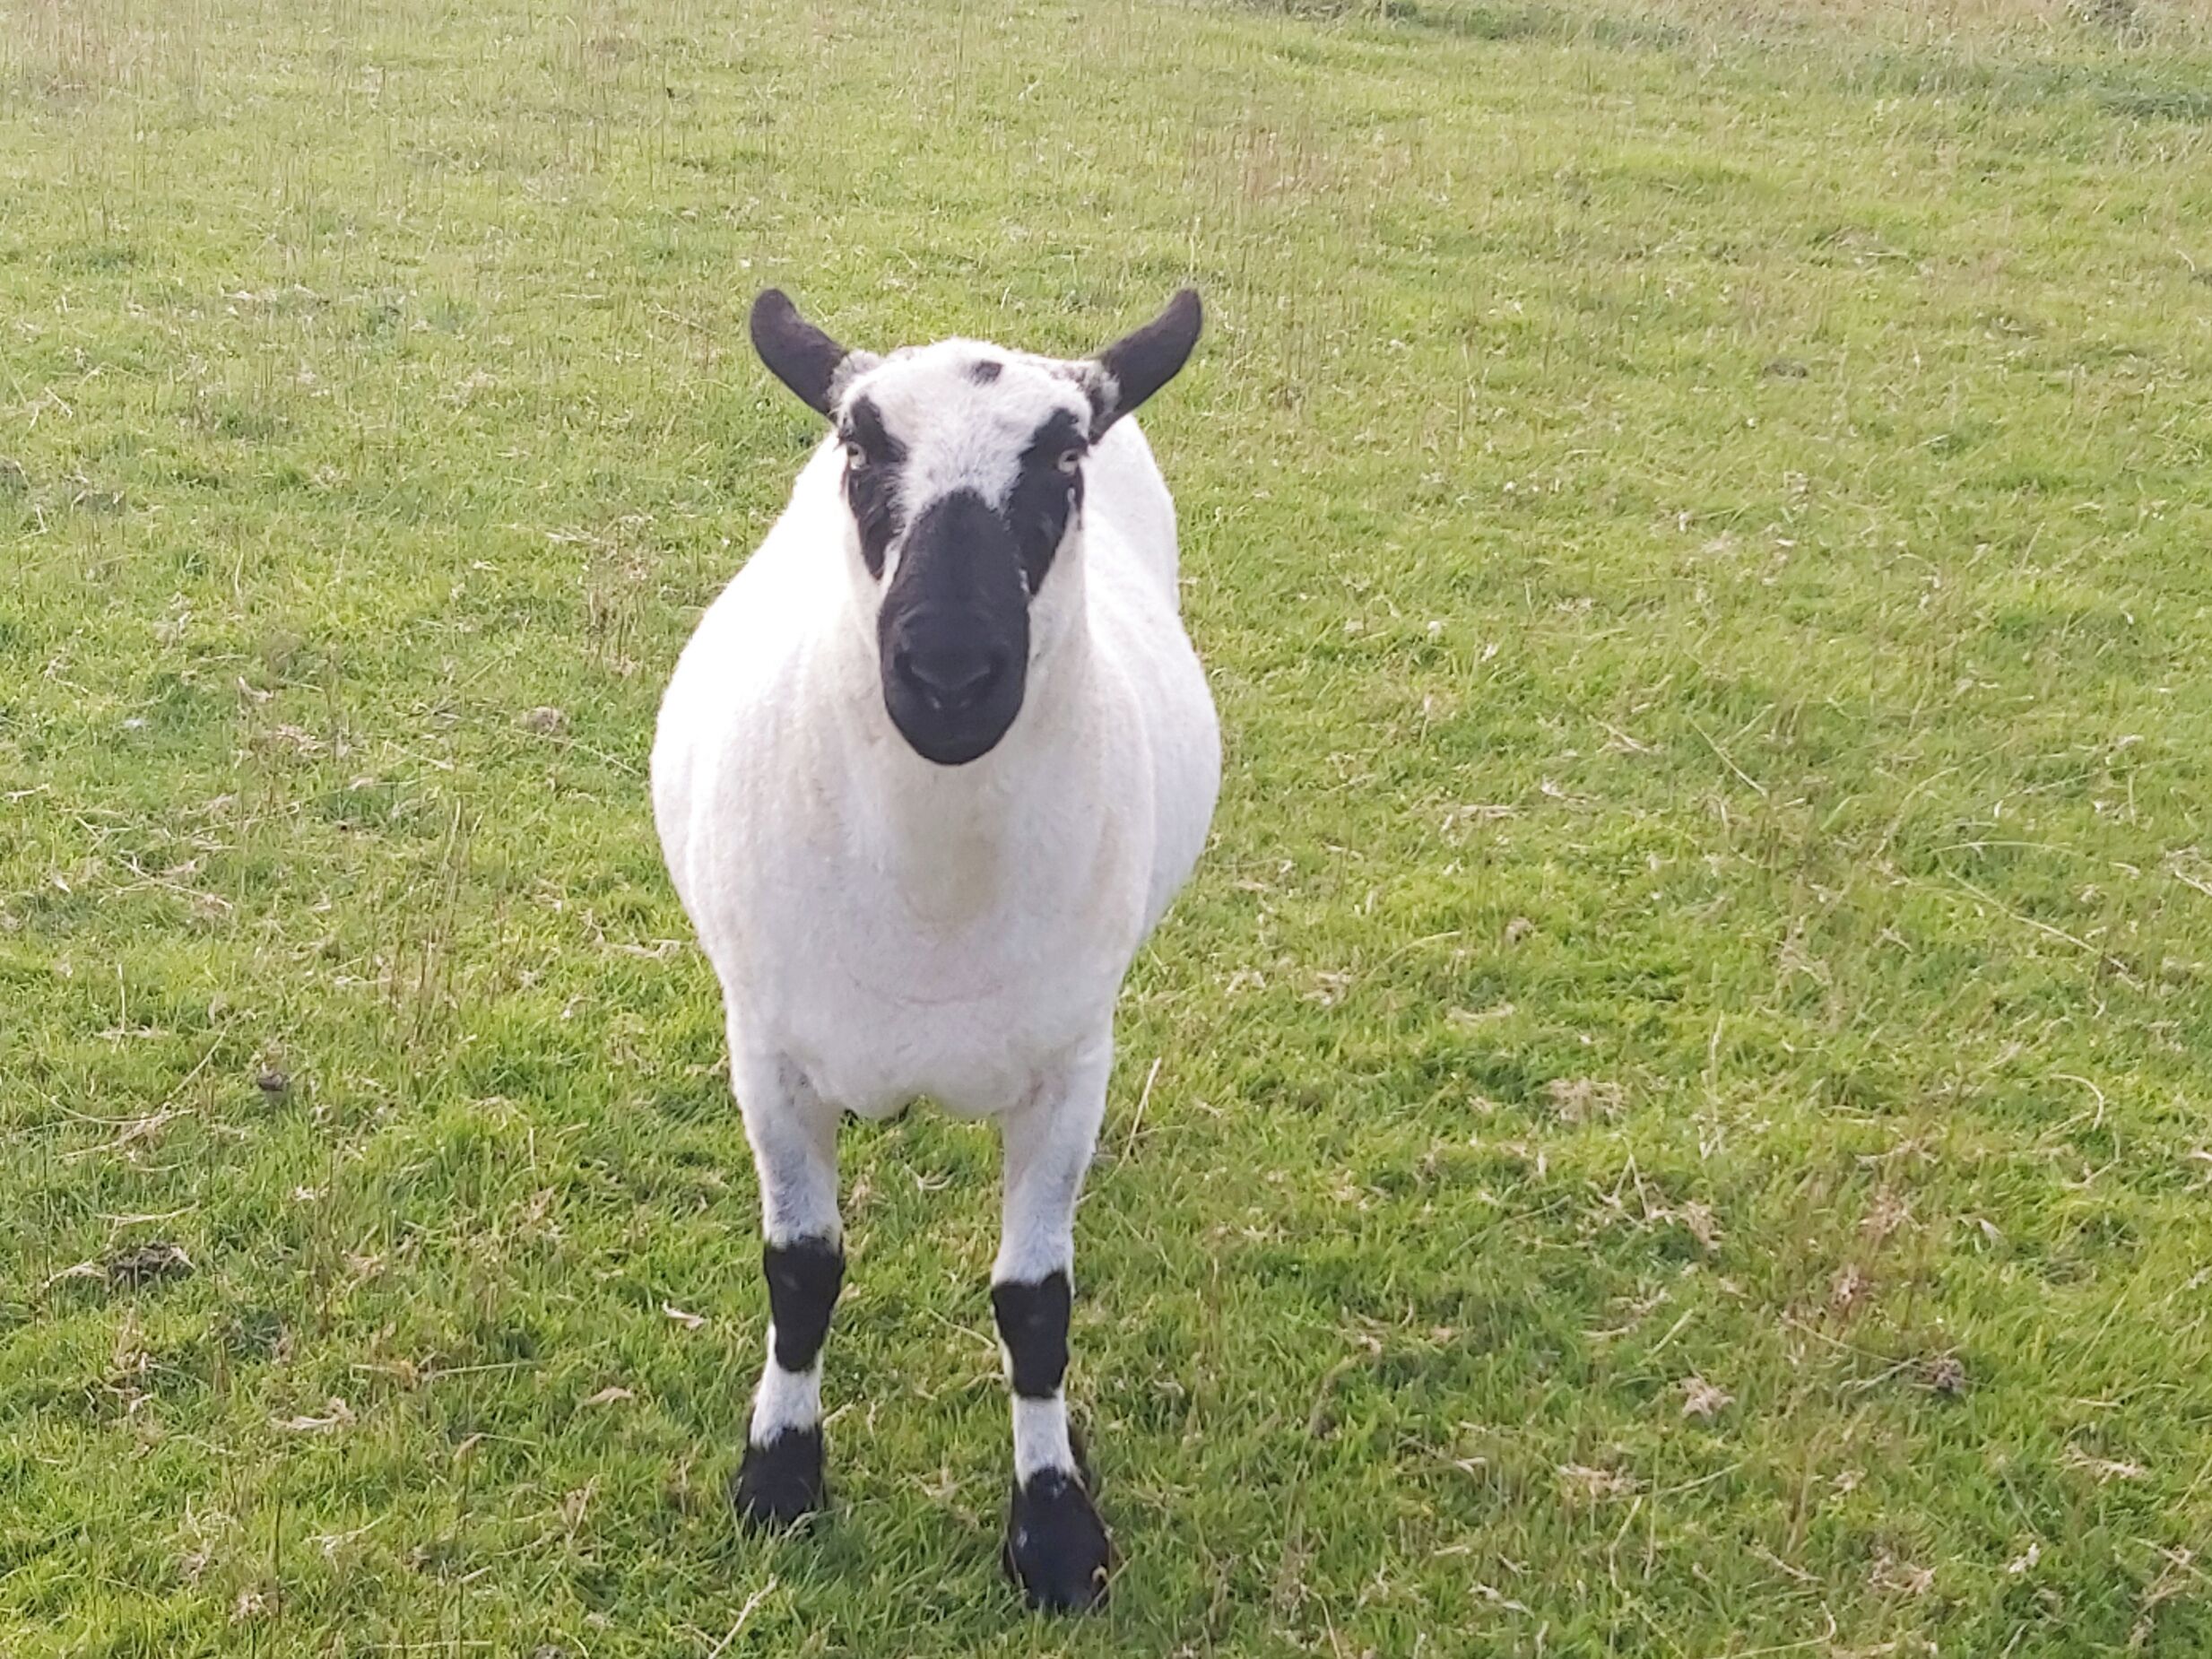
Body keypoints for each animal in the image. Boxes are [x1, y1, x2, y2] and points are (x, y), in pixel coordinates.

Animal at [649, 287, 1218, 1611]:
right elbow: (800, 1270)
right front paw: (779, 1478)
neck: (929, 893)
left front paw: (1053, 1528)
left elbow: (1034, 1303)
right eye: (862, 450)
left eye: (1062, 461)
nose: (949, 671)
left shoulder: (1070, 1064)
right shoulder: (768, 1054)